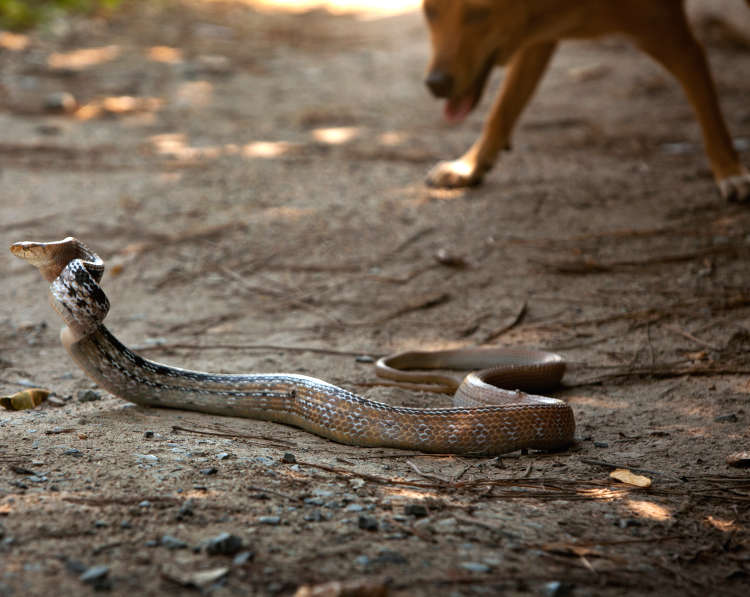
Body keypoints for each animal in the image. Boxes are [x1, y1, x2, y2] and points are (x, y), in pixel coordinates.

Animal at [424, 0, 750, 200]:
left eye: (479, 13)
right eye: (429, 11)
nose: (435, 84)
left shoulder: (681, 45)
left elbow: (709, 111)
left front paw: (730, 171)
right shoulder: (539, 38)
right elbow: (503, 109)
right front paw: (469, 165)